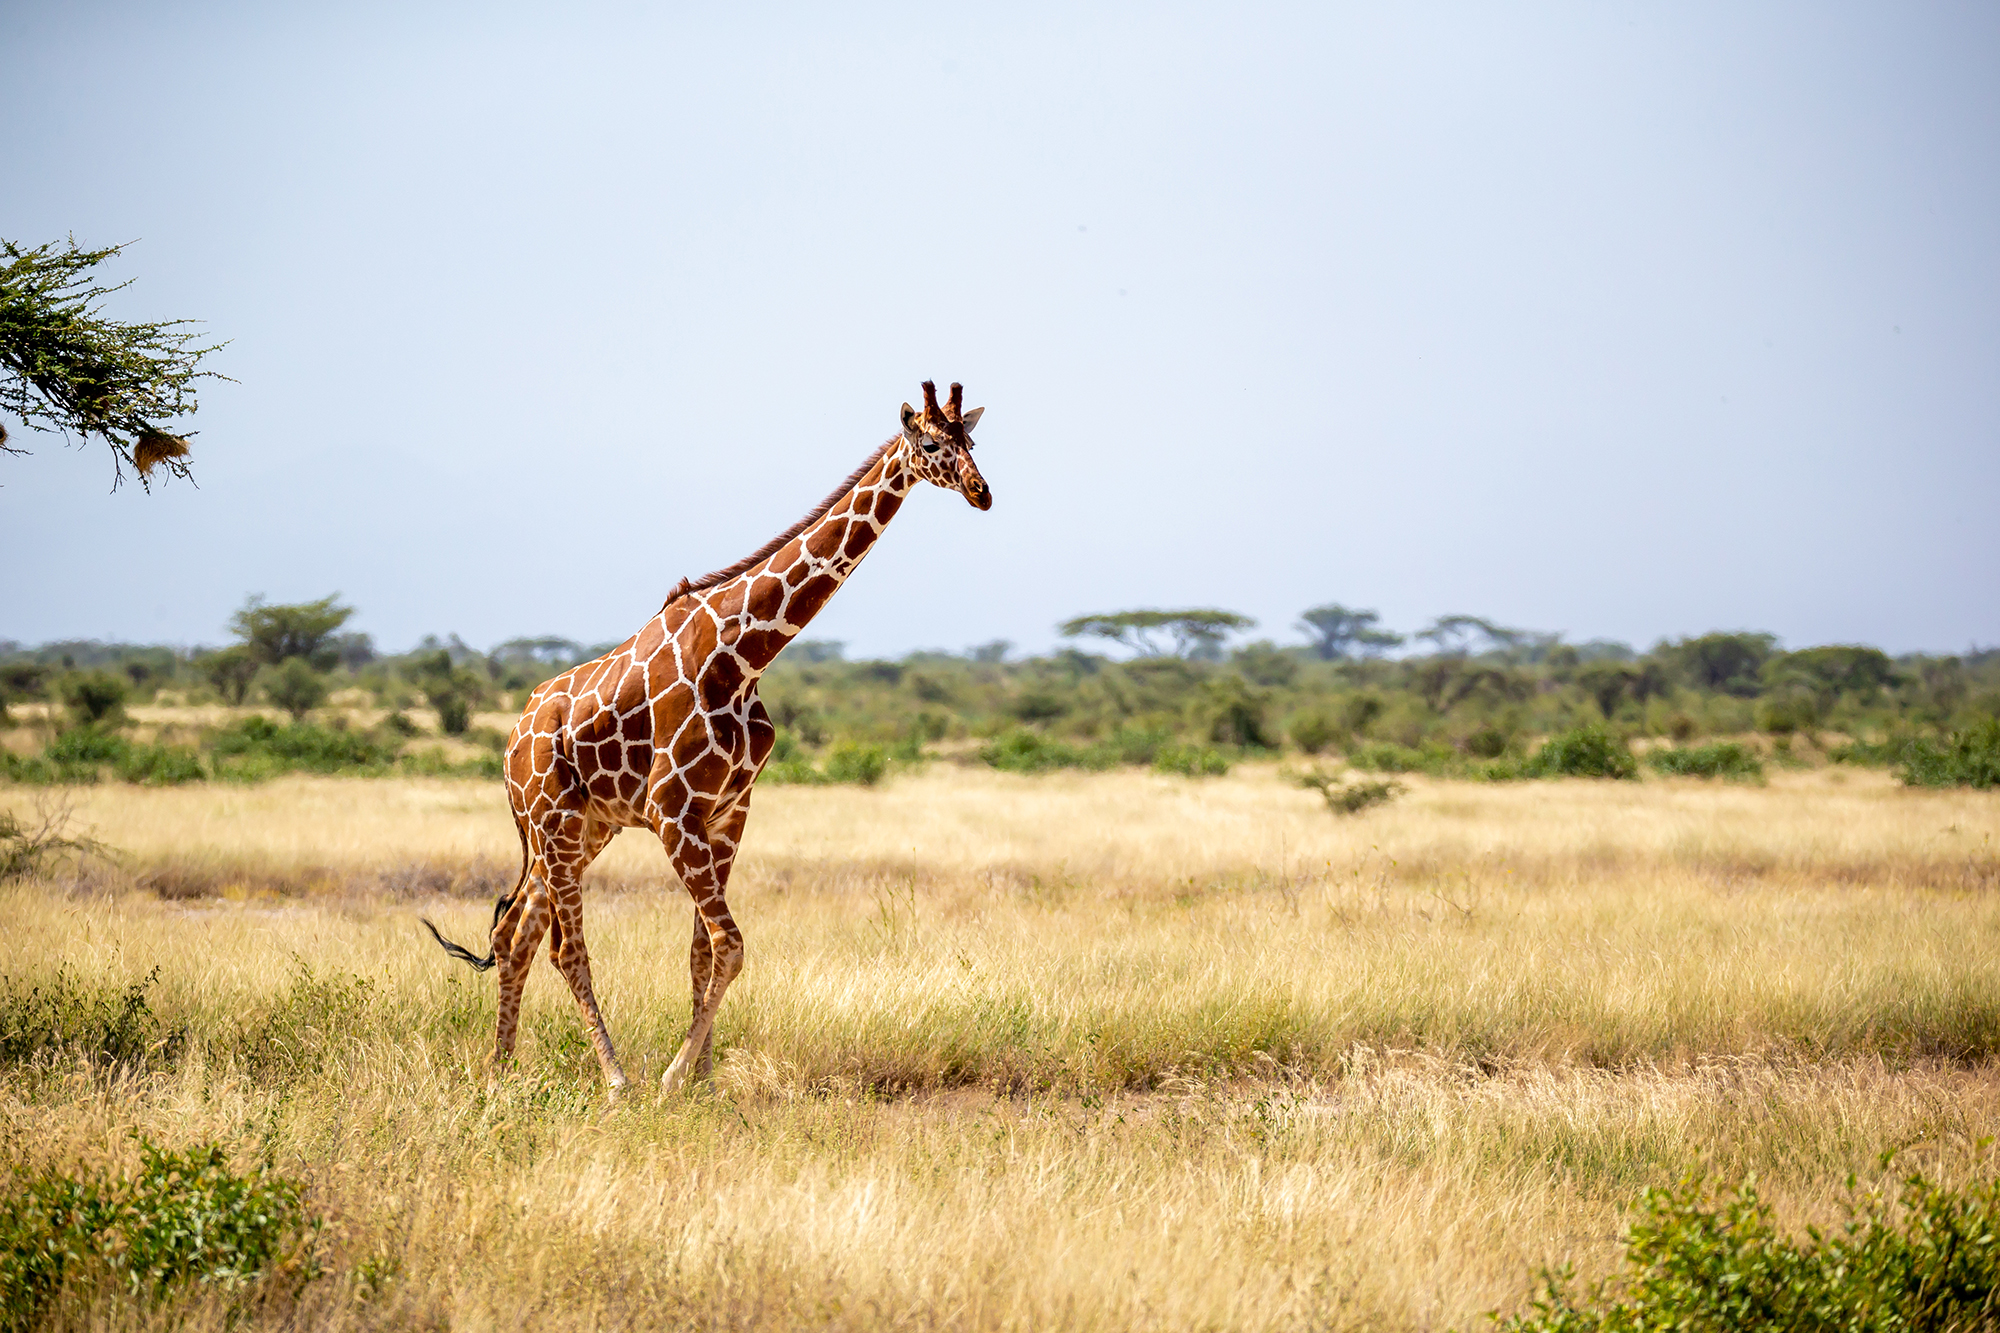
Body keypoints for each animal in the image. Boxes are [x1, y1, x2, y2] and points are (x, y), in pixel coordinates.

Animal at [424, 378, 992, 1088]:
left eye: (973, 442)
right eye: (932, 444)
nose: (982, 491)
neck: (745, 655)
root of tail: (509, 745)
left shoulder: (728, 812)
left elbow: (704, 951)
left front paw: (705, 1080)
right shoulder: (674, 812)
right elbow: (731, 945)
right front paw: (674, 1078)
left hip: (584, 829)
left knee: (515, 934)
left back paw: (500, 1068)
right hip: (553, 823)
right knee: (564, 947)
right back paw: (615, 1080)